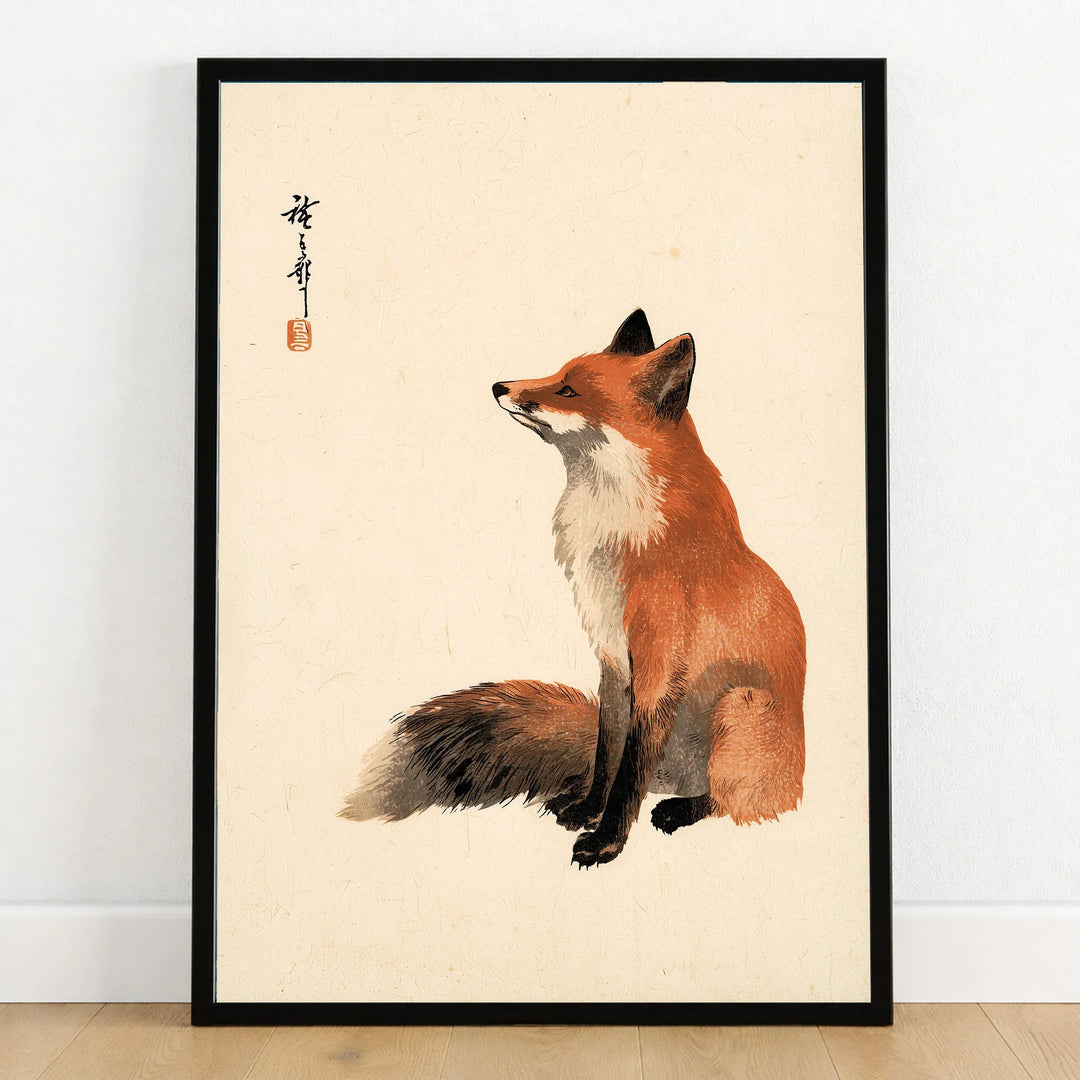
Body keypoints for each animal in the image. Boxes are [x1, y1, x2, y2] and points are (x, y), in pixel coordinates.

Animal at [342, 310, 806, 867]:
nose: (499, 386)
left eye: (567, 390)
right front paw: (587, 810)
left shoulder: (657, 671)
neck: (618, 531)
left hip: (738, 707)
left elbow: (629, 775)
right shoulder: (613, 661)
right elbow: (608, 756)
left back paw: (681, 810)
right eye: (557, 374)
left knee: (735, 800)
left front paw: (606, 842)